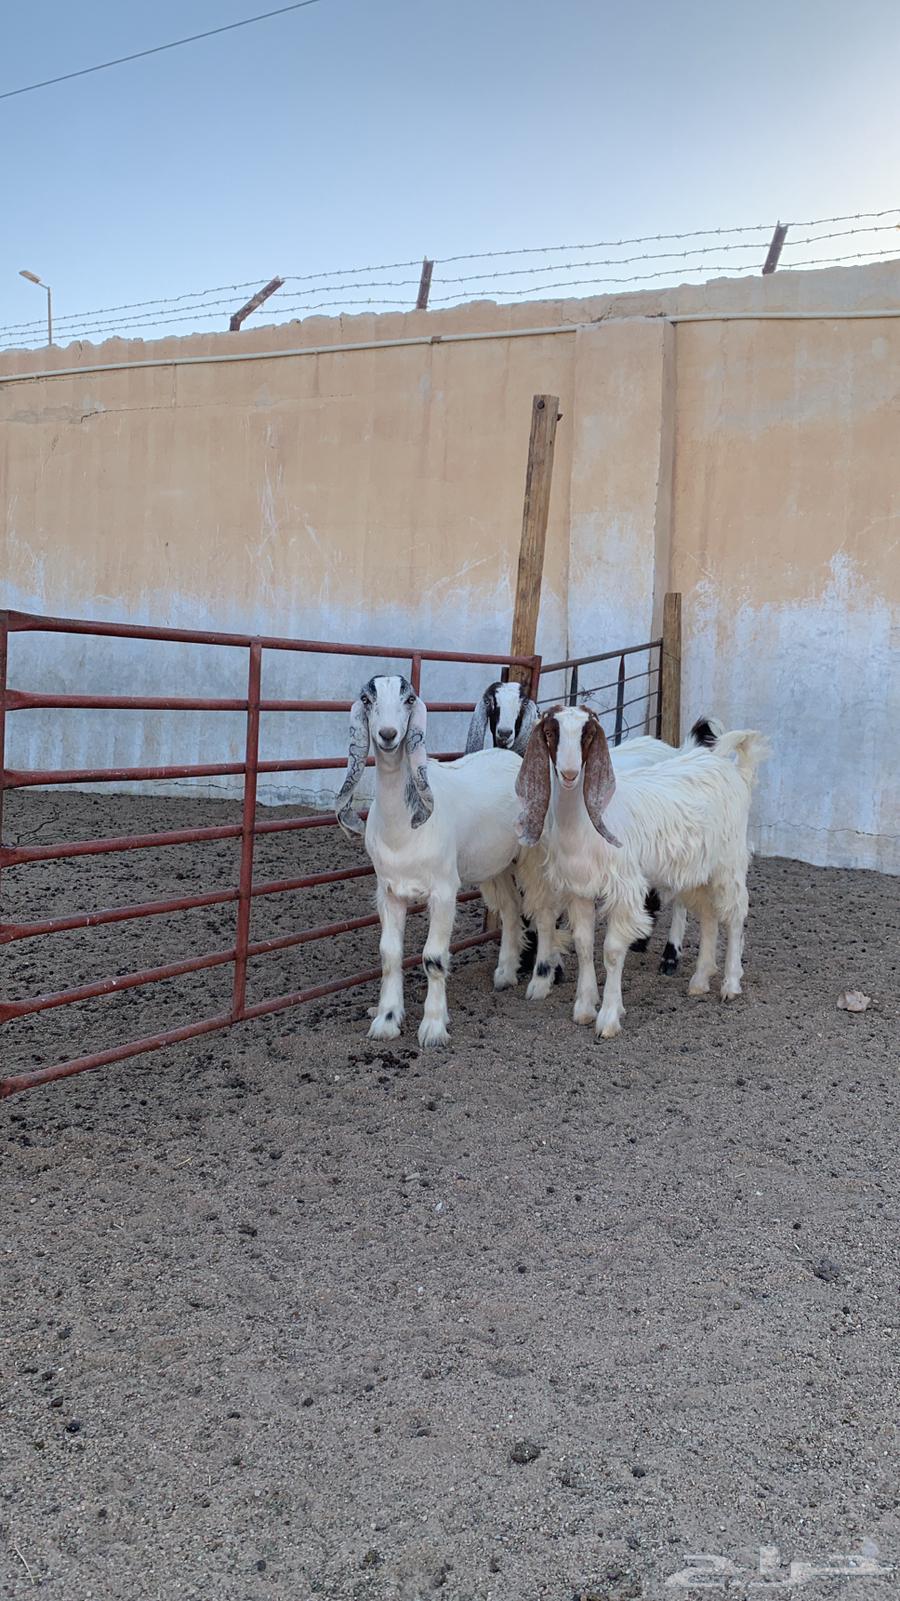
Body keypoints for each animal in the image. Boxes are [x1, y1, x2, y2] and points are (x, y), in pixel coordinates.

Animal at [336, 675, 527, 1048]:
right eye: (367, 700)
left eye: (409, 699)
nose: (388, 735)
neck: (403, 829)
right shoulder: (389, 891)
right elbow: (389, 954)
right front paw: (386, 1020)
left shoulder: (444, 891)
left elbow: (433, 958)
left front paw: (434, 1028)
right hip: (495, 865)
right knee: (511, 909)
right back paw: (505, 974)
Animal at [515, 706, 768, 1038]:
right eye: (549, 733)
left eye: (587, 735)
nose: (569, 775)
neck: (585, 823)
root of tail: (737, 772)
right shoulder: (579, 888)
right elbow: (583, 945)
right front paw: (584, 1008)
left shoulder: (624, 887)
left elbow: (611, 951)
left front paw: (608, 1017)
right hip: (696, 870)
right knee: (709, 916)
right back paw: (700, 980)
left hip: (729, 862)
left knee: (735, 915)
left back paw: (730, 984)